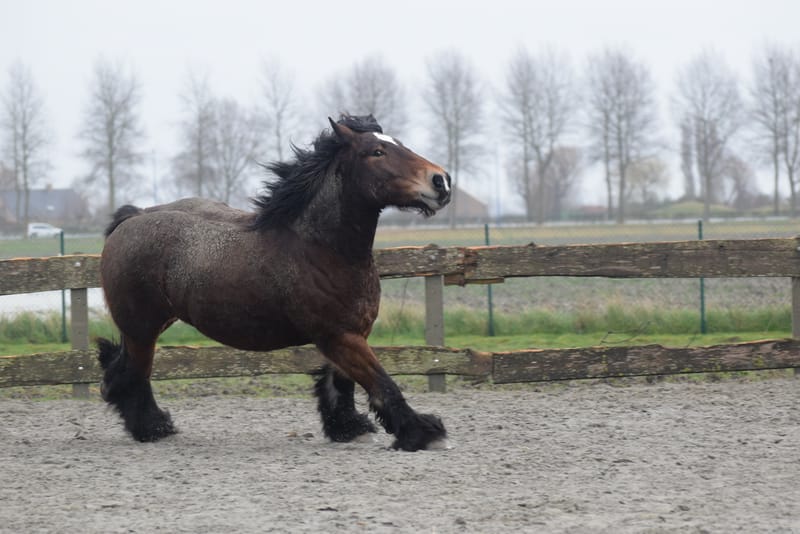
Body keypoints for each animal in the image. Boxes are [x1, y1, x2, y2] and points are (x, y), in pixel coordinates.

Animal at [97, 115, 452, 451]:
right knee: (134, 374)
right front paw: (424, 432)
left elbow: (340, 384)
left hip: (149, 326)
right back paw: (153, 429)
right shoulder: (340, 336)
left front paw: (348, 428)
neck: (320, 249)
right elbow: (382, 384)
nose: (441, 181)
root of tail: (132, 218)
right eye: (377, 152)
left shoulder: (350, 332)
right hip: (142, 329)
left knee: (120, 372)